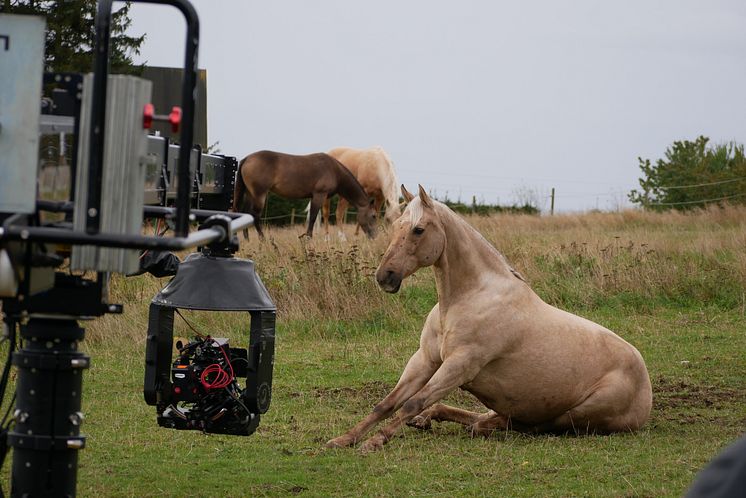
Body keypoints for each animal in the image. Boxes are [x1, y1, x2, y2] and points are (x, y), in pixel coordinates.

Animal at [232, 150, 378, 239]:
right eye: (374, 216)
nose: (374, 236)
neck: (334, 170)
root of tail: (247, 158)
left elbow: (314, 217)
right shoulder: (319, 195)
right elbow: (313, 217)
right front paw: (308, 237)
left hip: (250, 194)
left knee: (246, 213)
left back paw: (247, 238)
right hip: (259, 194)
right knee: (255, 216)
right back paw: (263, 239)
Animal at [322, 185, 648, 454]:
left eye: (418, 230)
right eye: (396, 226)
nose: (384, 277)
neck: (468, 298)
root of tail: (646, 389)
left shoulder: (461, 365)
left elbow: (413, 402)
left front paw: (374, 442)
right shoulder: (425, 360)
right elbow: (387, 403)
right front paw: (344, 439)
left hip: (576, 412)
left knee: (529, 425)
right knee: (487, 416)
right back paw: (432, 419)